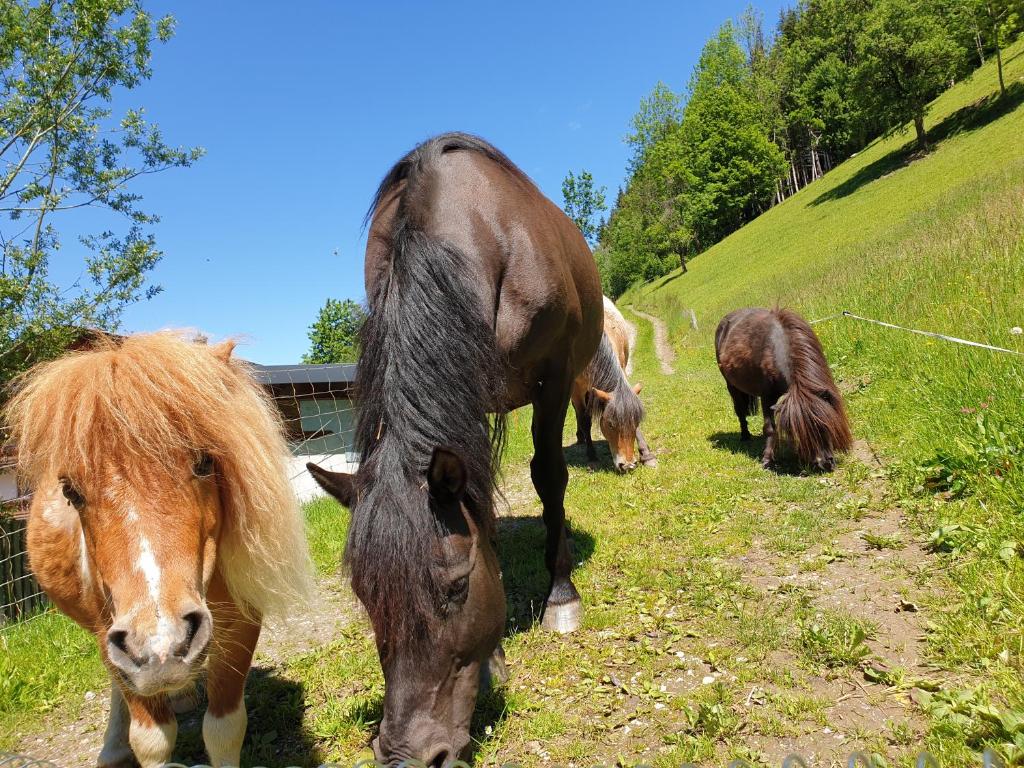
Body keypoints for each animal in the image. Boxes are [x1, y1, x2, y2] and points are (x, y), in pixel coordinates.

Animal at [4, 333, 313, 768]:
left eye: (204, 462)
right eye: (71, 491)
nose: (159, 646)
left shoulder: (241, 617)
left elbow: (224, 729)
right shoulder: (111, 634)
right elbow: (151, 740)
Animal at [306, 133, 602, 765]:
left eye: (456, 588)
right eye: (366, 598)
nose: (406, 755)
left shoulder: (554, 374)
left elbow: (548, 474)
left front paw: (561, 595)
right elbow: (477, 501)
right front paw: (495, 660)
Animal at [571, 296, 657, 471]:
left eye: (636, 421)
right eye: (610, 424)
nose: (628, 465)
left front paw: (646, 455)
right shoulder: (576, 390)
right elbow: (584, 420)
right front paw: (591, 456)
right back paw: (581, 437)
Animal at [714, 307, 852, 471]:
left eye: (826, 426)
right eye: (806, 432)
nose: (825, 463)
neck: (778, 347)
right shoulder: (767, 397)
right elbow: (769, 428)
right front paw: (767, 460)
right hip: (732, 386)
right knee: (740, 410)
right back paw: (745, 435)